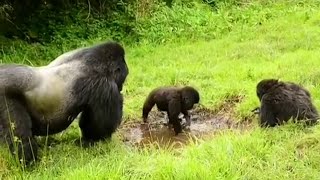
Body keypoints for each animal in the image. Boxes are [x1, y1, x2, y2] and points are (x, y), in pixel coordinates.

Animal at [0, 41, 129, 165]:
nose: (121, 87)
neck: (96, 62)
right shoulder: (104, 85)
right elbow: (99, 126)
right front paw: (93, 142)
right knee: (20, 136)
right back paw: (29, 163)